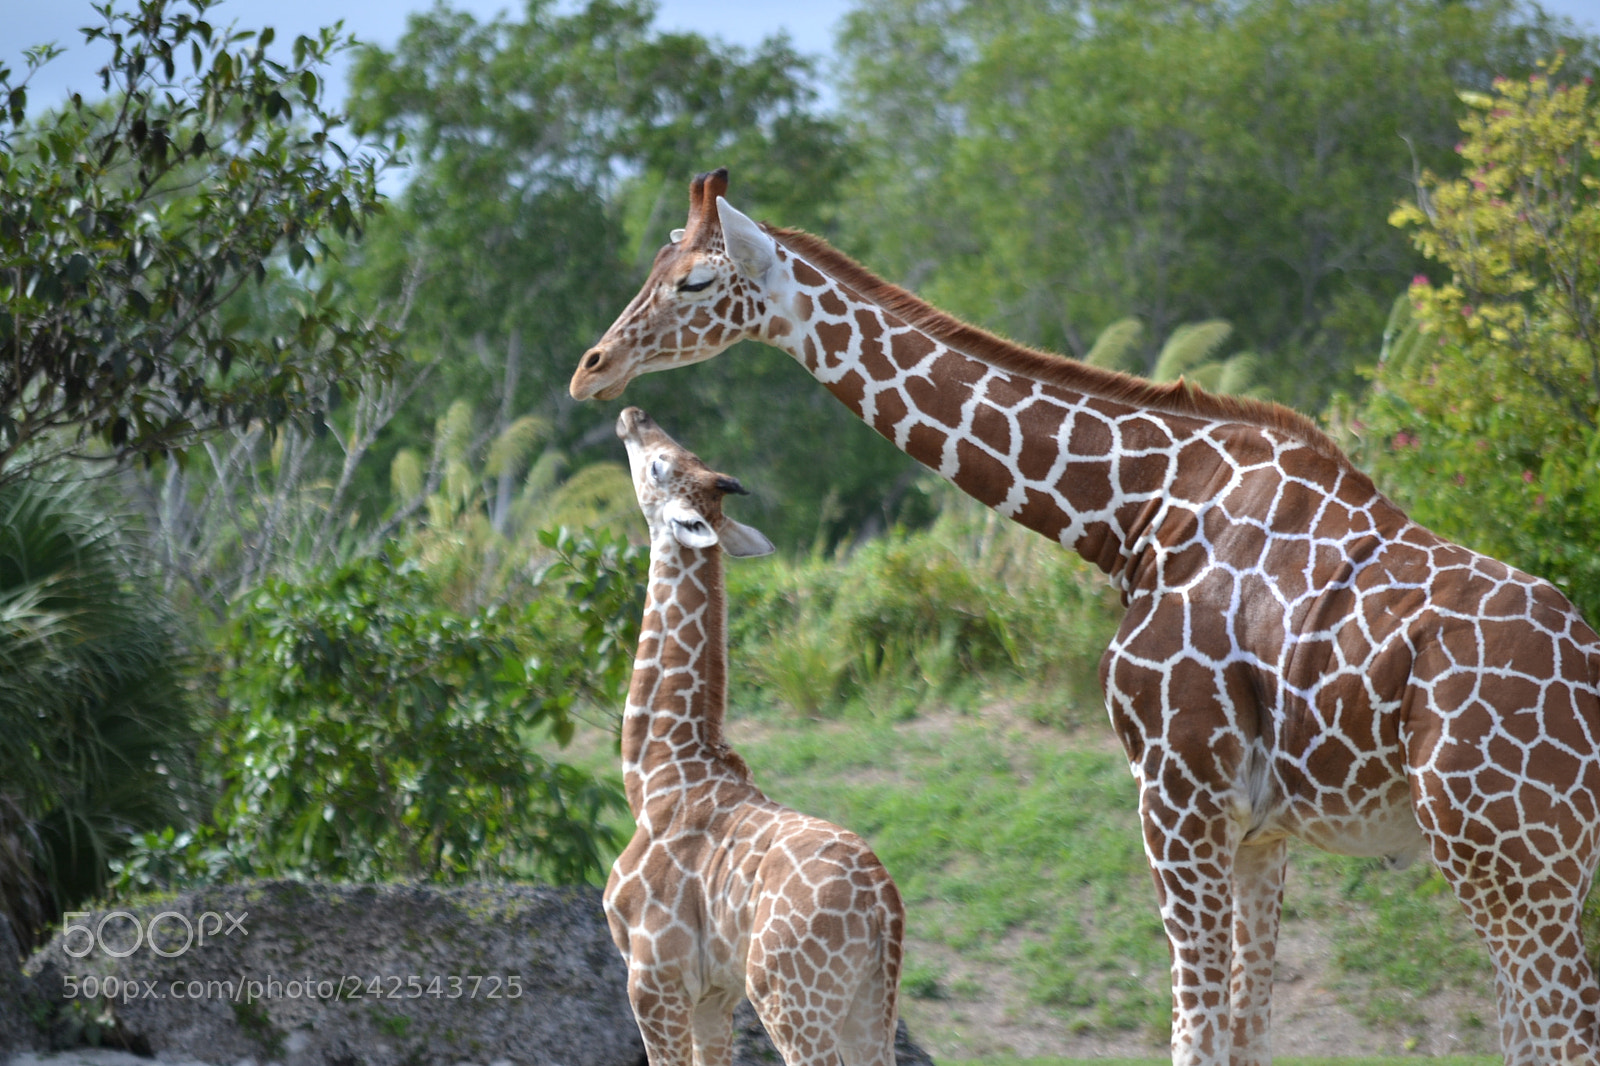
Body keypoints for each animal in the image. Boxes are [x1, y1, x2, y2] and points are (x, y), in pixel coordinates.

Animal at [605, 404, 907, 1066]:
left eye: (659, 465)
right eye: (677, 454)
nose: (633, 414)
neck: (656, 774)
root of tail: (883, 906)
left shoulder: (654, 979)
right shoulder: (715, 994)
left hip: (791, 1001)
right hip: (869, 1007)